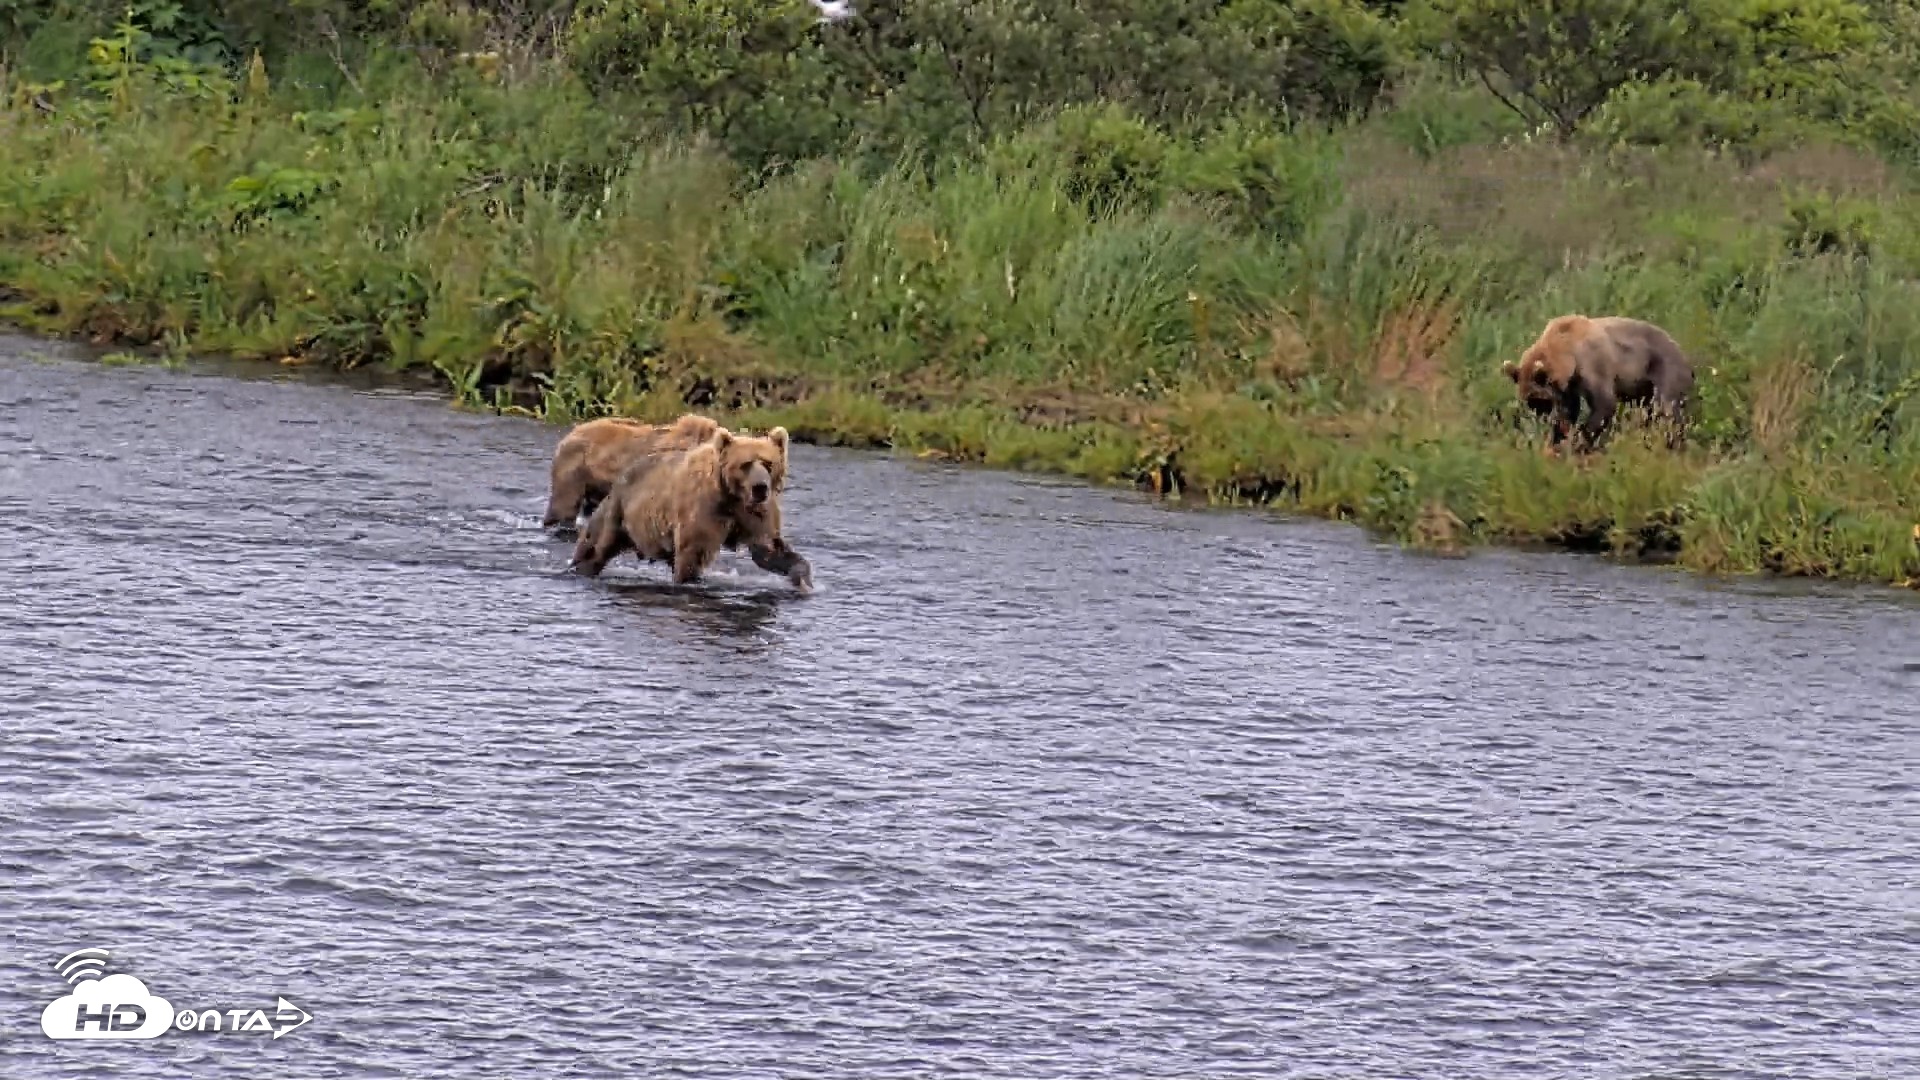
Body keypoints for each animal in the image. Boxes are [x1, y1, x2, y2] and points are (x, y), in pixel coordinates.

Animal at [567, 425, 813, 591]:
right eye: (745, 464)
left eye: (768, 463)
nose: (760, 487)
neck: (731, 495)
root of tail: (622, 475)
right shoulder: (704, 510)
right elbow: (694, 553)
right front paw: (689, 580)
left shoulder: (753, 513)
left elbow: (768, 549)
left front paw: (803, 579)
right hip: (619, 509)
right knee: (596, 548)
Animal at [1501, 314, 1696, 454]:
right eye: (1529, 402)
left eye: (1540, 401)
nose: (1541, 419)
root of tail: (1685, 355)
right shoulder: (1569, 385)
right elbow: (1568, 410)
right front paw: (1558, 440)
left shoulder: (1593, 364)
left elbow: (1604, 404)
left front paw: (1580, 441)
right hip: (1644, 385)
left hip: (1662, 367)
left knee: (1666, 409)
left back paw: (1673, 441)